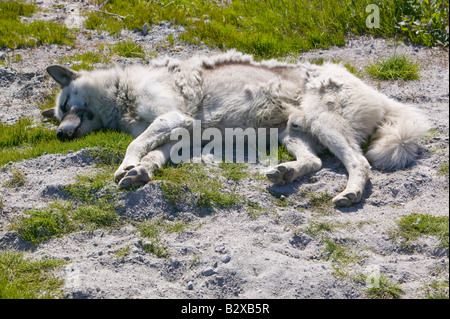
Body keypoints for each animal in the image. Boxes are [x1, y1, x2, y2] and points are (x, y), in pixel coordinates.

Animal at [42, 49, 428, 205]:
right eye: (58, 115)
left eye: (66, 104)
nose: (60, 134)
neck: (123, 92)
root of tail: (377, 93)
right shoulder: (180, 138)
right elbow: (152, 156)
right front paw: (139, 174)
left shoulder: (173, 119)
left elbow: (134, 146)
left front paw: (126, 167)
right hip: (293, 133)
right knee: (315, 162)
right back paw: (285, 173)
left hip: (325, 125)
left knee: (358, 163)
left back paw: (350, 194)